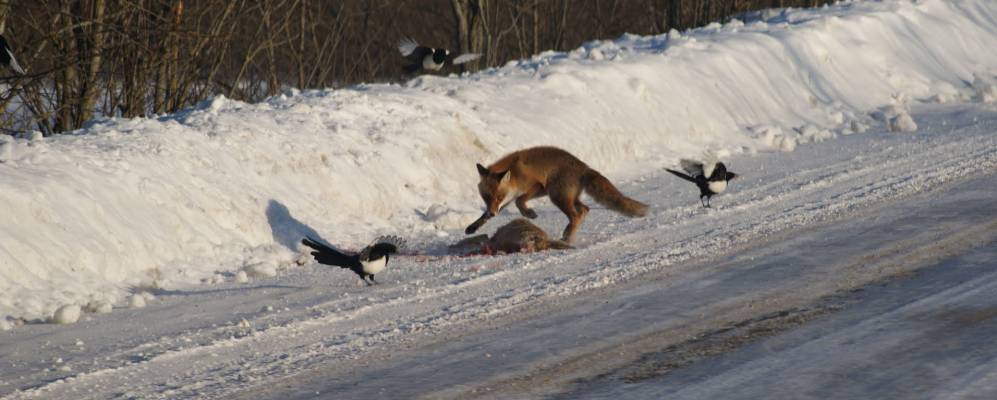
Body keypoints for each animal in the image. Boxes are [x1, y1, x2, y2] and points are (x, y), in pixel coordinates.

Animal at [464, 146, 648, 242]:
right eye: (486, 198)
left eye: (498, 197)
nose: (492, 213)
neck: (515, 175)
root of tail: (584, 167)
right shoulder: (507, 201)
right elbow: (483, 217)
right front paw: (473, 227)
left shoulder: (536, 186)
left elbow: (520, 201)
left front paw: (529, 213)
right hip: (568, 197)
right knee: (584, 209)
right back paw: (569, 232)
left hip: (556, 195)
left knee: (576, 215)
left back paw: (567, 237)